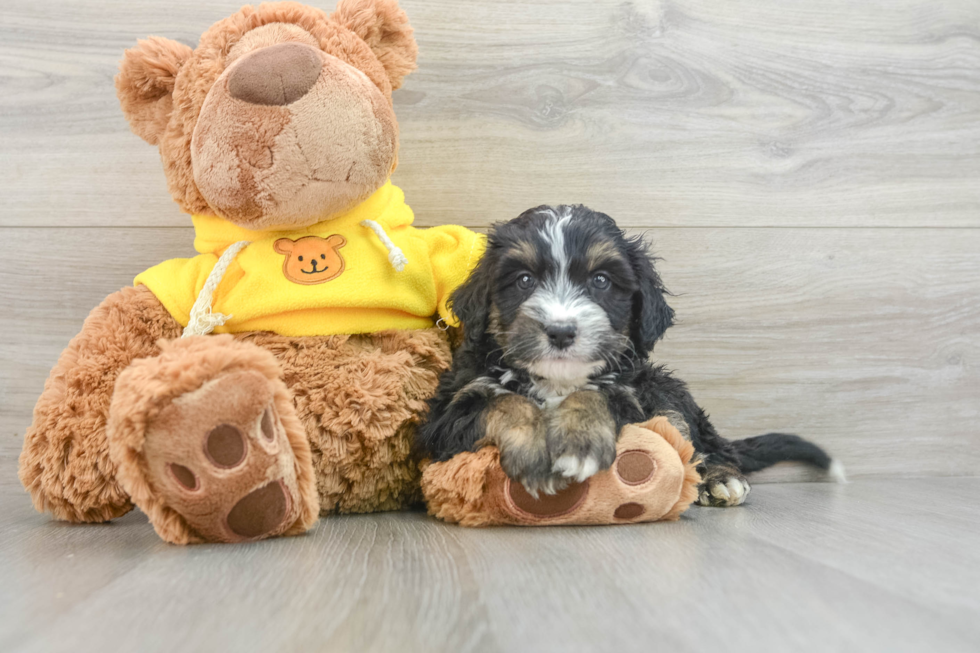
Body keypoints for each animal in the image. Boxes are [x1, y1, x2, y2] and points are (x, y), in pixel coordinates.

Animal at [416, 204, 844, 504]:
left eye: (601, 280)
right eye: (523, 280)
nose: (561, 331)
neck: (557, 380)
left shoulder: (630, 392)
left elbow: (596, 395)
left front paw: (580, 442)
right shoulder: (444, 418)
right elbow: (504, 403)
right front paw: (534, 450)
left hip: (662, 387)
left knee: (696, 440)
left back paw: (720, 477)